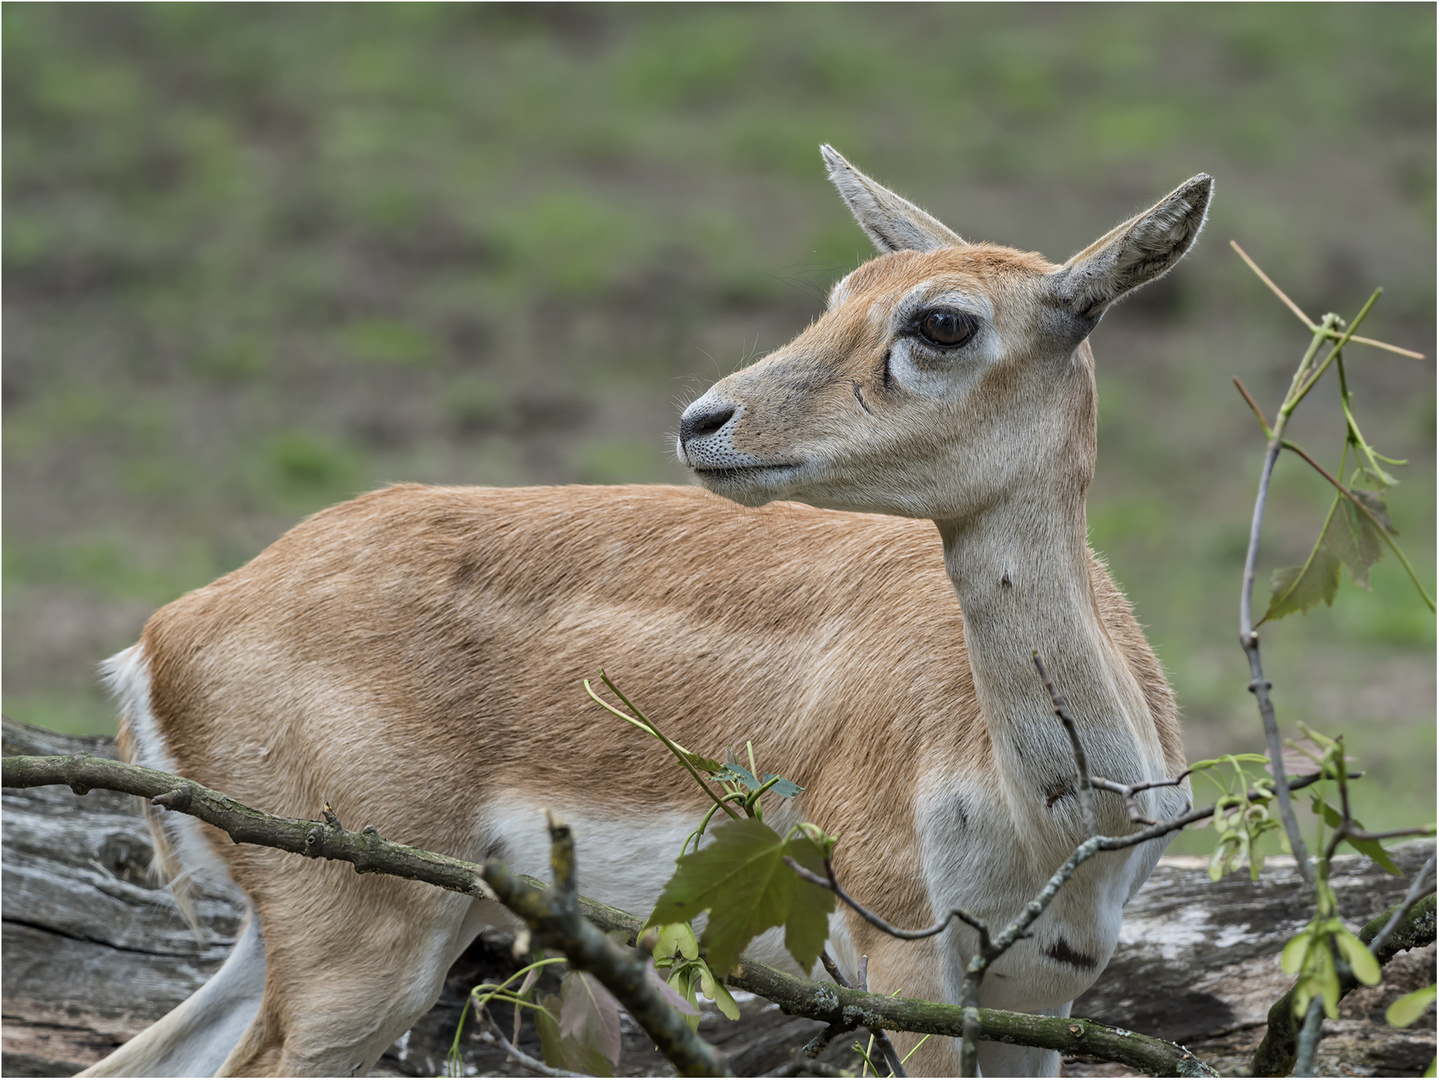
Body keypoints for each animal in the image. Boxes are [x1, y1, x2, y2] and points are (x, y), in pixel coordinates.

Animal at [81, 148, 1203, 1075]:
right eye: (841, 294)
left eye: (941, 319)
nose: (706, 420)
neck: (1061, 814)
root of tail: (164, 635)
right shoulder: (904, 965)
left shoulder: (1037, 999)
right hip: (361, 948)